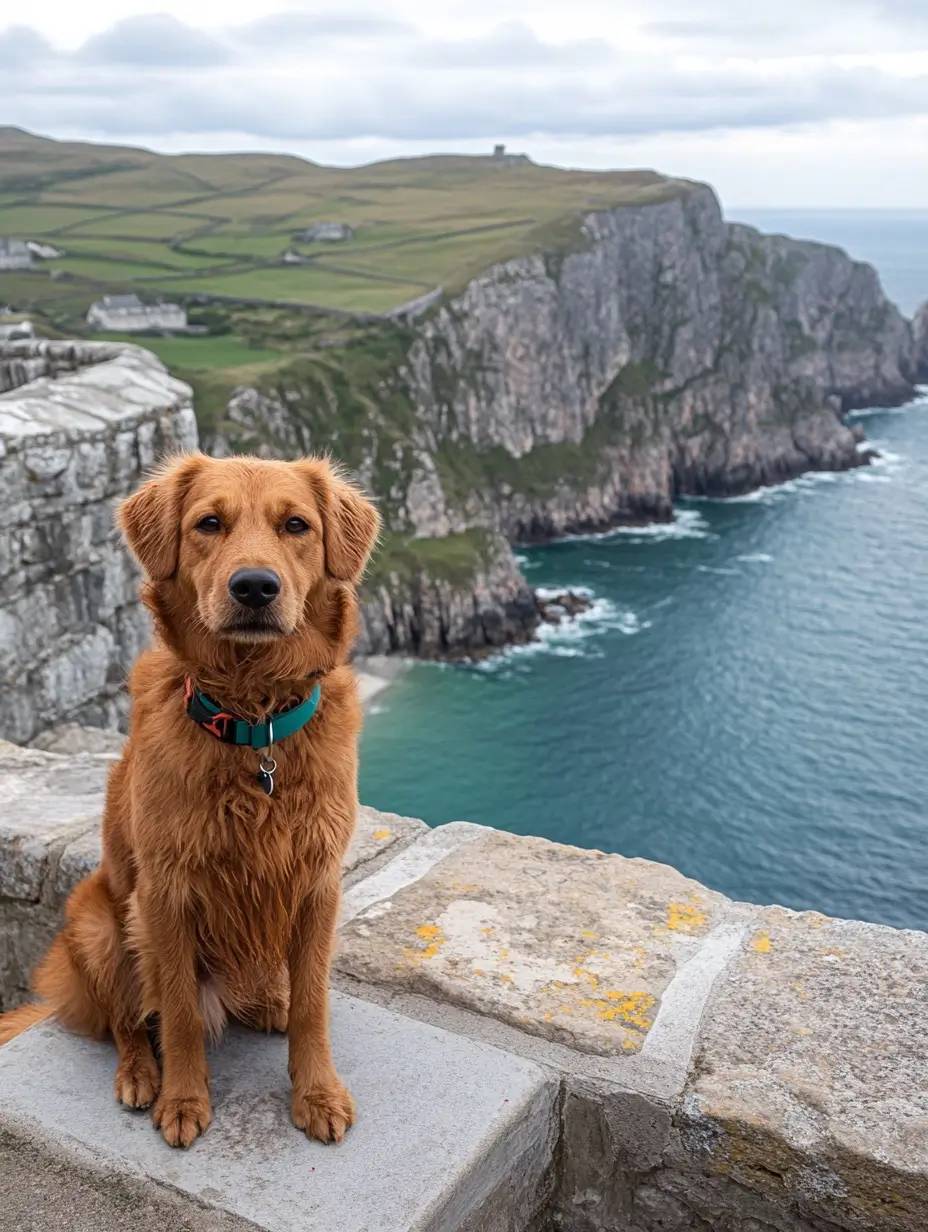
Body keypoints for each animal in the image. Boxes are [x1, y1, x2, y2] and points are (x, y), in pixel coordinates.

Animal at [0, 458, 379, 1148]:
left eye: (296, 525)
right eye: (208, 523)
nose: (254, 587)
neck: (253, 724)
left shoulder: (317, 884)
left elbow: (313, 1004)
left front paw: (315, 1092)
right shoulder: (165, 894)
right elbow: (174, 1010)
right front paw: (182, 1099)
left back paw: (271, 1004)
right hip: (101, 925)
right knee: (127, 1019)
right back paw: (138, 1074)